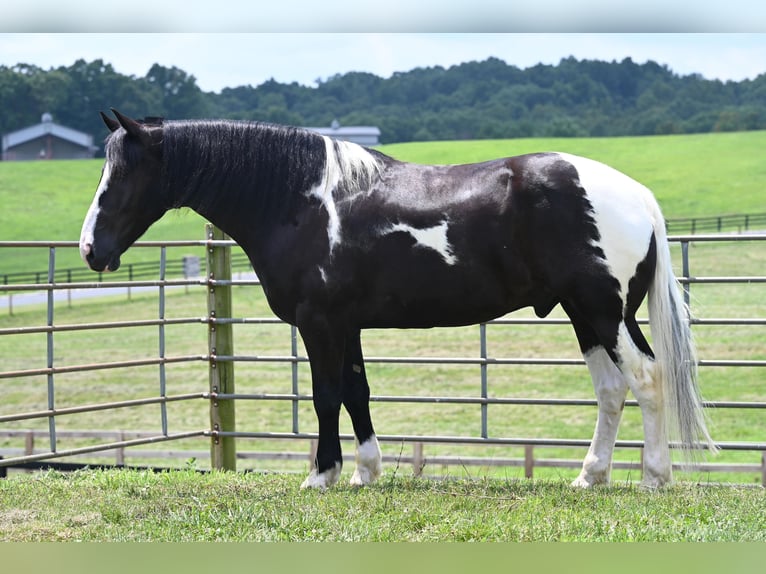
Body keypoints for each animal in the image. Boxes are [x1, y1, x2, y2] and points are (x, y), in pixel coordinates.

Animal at [81, 109, 716, 490]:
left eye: (122, 177)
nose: (90, 248)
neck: (300, 200)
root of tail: (637, 196)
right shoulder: (347, 325)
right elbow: (357, 393)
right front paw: (366, 472)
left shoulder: (319, 323)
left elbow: (326, 396)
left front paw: (322, 476)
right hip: (583, 313)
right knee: (611, 390)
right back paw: (590, 477)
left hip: (605, 312)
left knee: (648, 379)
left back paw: (654, 478)